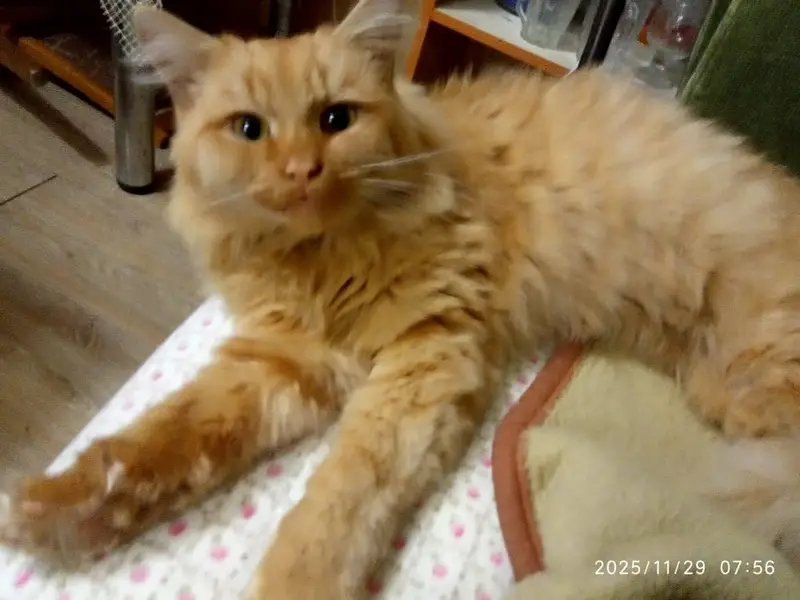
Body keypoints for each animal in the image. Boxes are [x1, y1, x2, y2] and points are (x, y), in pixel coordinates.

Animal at [2, 0, 800, 596]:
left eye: (336, 119)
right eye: (249, 129)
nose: (300, 171)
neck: (319, 260)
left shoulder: (428, 353)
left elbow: (343, 495)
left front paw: (295, 583)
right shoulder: (285, 359)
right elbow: (168, 435)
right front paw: (62, 508)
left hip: (755, 380)